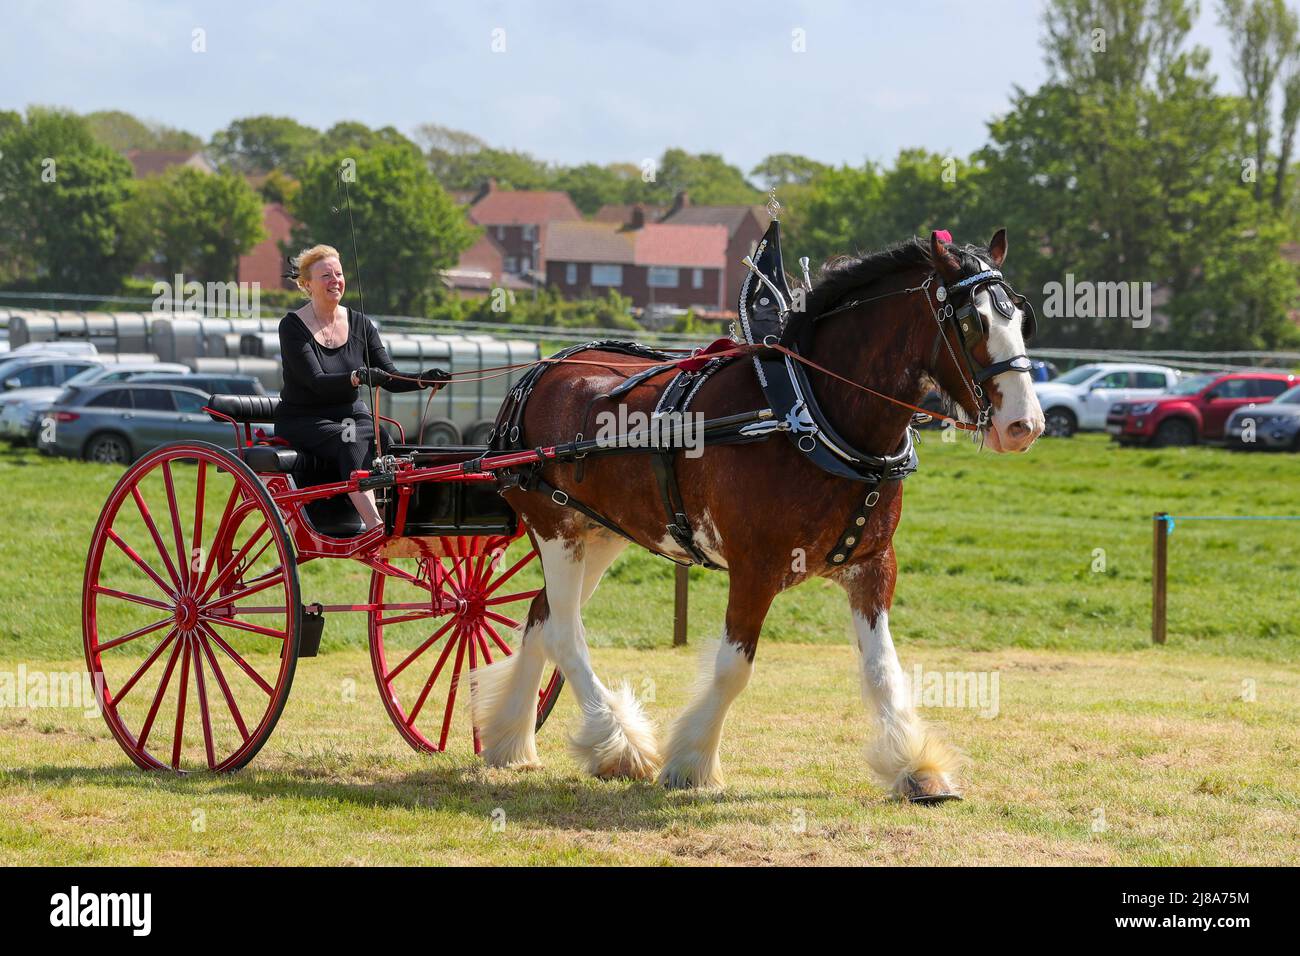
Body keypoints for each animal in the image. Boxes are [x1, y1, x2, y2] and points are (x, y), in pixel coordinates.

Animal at [470, 230, 1045, 801]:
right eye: (971, 322)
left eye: (1021, 317)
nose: (1025, 425)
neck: (810, 413)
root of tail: (539, 373)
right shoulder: (755, 568)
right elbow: (733, 669)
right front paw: (692, 763)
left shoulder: (873, 565)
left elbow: (883, 669)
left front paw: (914, 766)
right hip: (555, 529)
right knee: (564, 633)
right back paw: (618, 744)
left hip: (599, 533)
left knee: (543, 617)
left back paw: (511, 740)